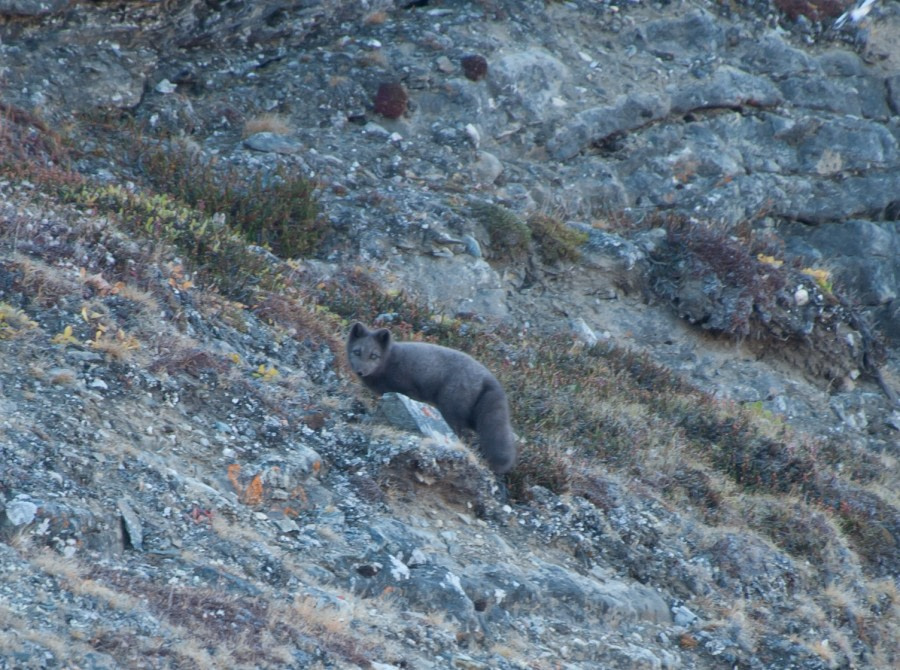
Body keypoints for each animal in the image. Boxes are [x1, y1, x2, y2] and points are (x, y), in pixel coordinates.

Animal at [344, 322, 516, 476]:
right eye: (357, 352)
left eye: (374, 356)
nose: (360, 371)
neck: (388, 361)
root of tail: (490, 379)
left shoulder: (407, 390)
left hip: (451, 408)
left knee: (459, 433)